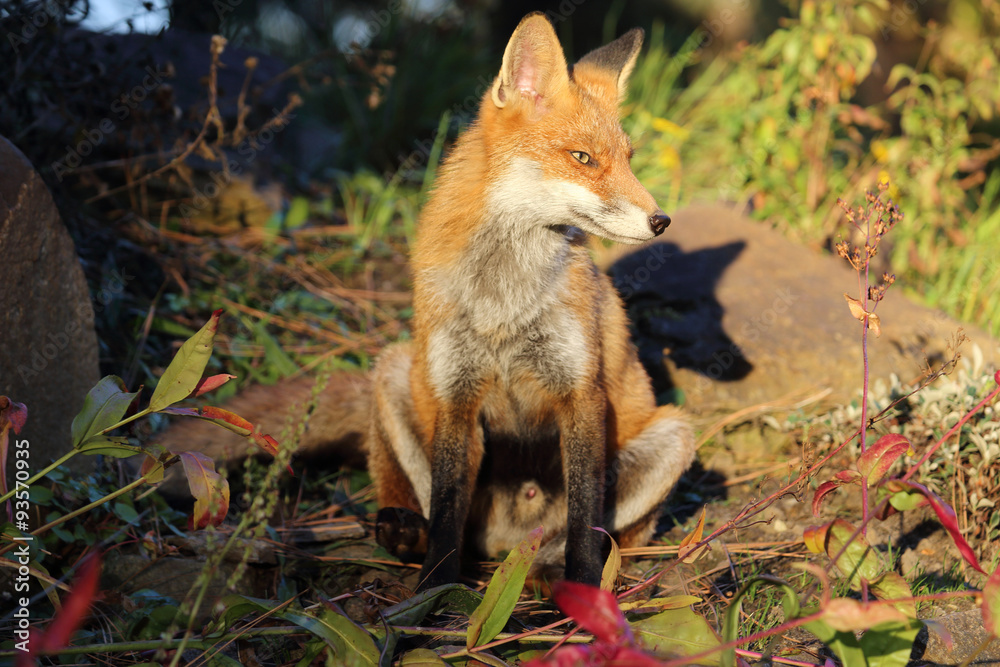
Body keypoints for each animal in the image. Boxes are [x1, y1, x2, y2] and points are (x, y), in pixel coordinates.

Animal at [368, 13, 696, 588]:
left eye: (629, 160)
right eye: (583, 158)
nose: (662, 220)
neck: (504, 304)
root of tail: (504, 544)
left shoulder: (581, 391)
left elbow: (586, 516)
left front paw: (584, 588)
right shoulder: (455, 394)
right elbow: (446, 508)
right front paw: (432, 592)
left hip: (674, 434)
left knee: (598, 537)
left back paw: (547, 572)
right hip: (394, 369)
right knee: (424, 503)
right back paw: (406, 532)